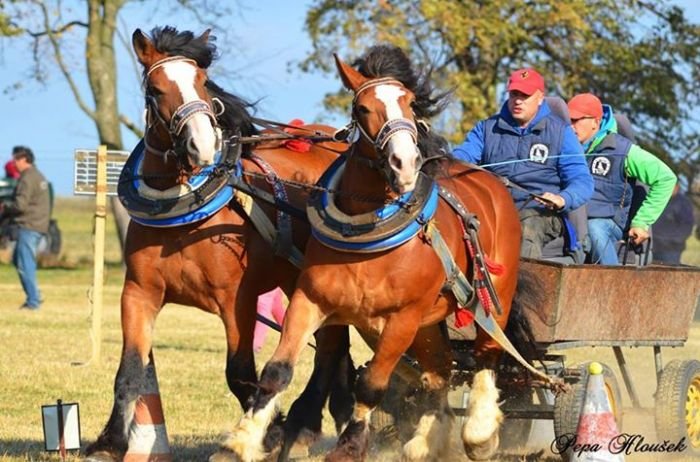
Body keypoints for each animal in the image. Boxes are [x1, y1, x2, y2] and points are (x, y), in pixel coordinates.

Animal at [83, 27, 356, 460]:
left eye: (200, 82)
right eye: (156, 90)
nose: (201, 144)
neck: (183, 217)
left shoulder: (236, 301)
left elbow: (240, 374)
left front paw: (266, 432)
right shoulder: (139, 292)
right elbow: (130, 370)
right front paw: (109, 442)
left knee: (330, 348)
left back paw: (303, 426)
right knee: (335, 347)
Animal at [224, 44, 524, 462]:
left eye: (410, 103)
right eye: (362, 107)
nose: (405, 163)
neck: (367, 230)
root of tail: (490, 181)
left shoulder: (402, 319)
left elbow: (371, 385)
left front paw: (349, 447)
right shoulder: (309, 300)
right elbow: (277, 371)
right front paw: (241, 442)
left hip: (491, 299)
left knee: (486, 354)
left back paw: (479, 433)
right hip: (428, 323)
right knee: (439, 371)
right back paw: (426, 439)